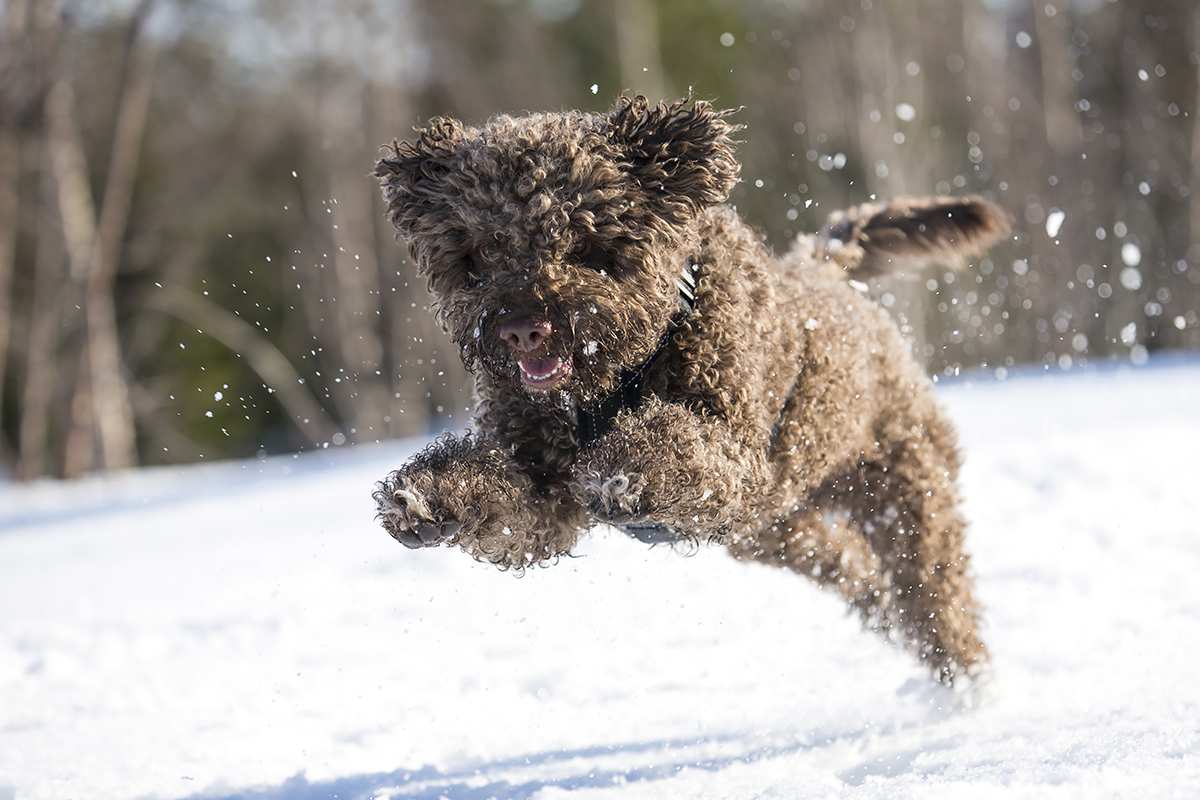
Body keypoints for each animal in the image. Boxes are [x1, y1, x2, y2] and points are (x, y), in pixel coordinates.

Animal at [369, 94, 1008, 681]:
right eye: (479, 252)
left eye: (586, 243)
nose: (522, 327)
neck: (611, 385)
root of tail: (826, 270)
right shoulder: (545, 487)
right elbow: (512, 505)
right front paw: (430, 496)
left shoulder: (735, 453)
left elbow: (676, 447)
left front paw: (627, 470)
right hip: (775, 531)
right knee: (857, 573)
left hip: (903, 490)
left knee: (935, 594)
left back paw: (969, 685)